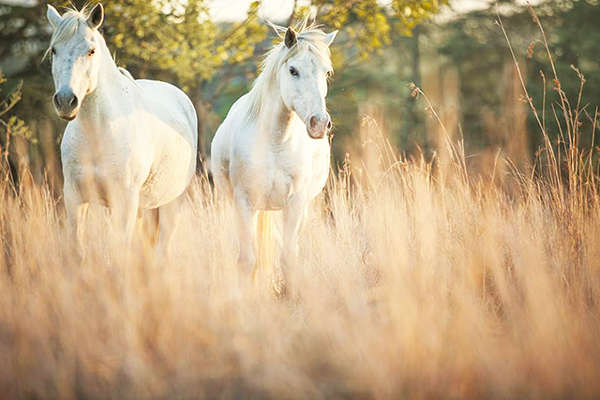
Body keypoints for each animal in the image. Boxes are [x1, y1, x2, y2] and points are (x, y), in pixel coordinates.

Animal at [47, 4, 197, 260]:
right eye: (54, 50)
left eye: (91, 51)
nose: (66, 101)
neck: (98, 133)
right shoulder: (74, 197)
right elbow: (77, 249)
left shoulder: (125, 200)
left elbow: (119, 252)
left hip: (171, 202)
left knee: (163, 248)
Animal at [211, 21, 336, 290]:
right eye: (293, 70)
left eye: (326, 73)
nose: (320, 124)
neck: (275, 144)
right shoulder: (244, 202)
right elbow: (247, 260)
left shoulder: (295, 204)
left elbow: (288, 257)